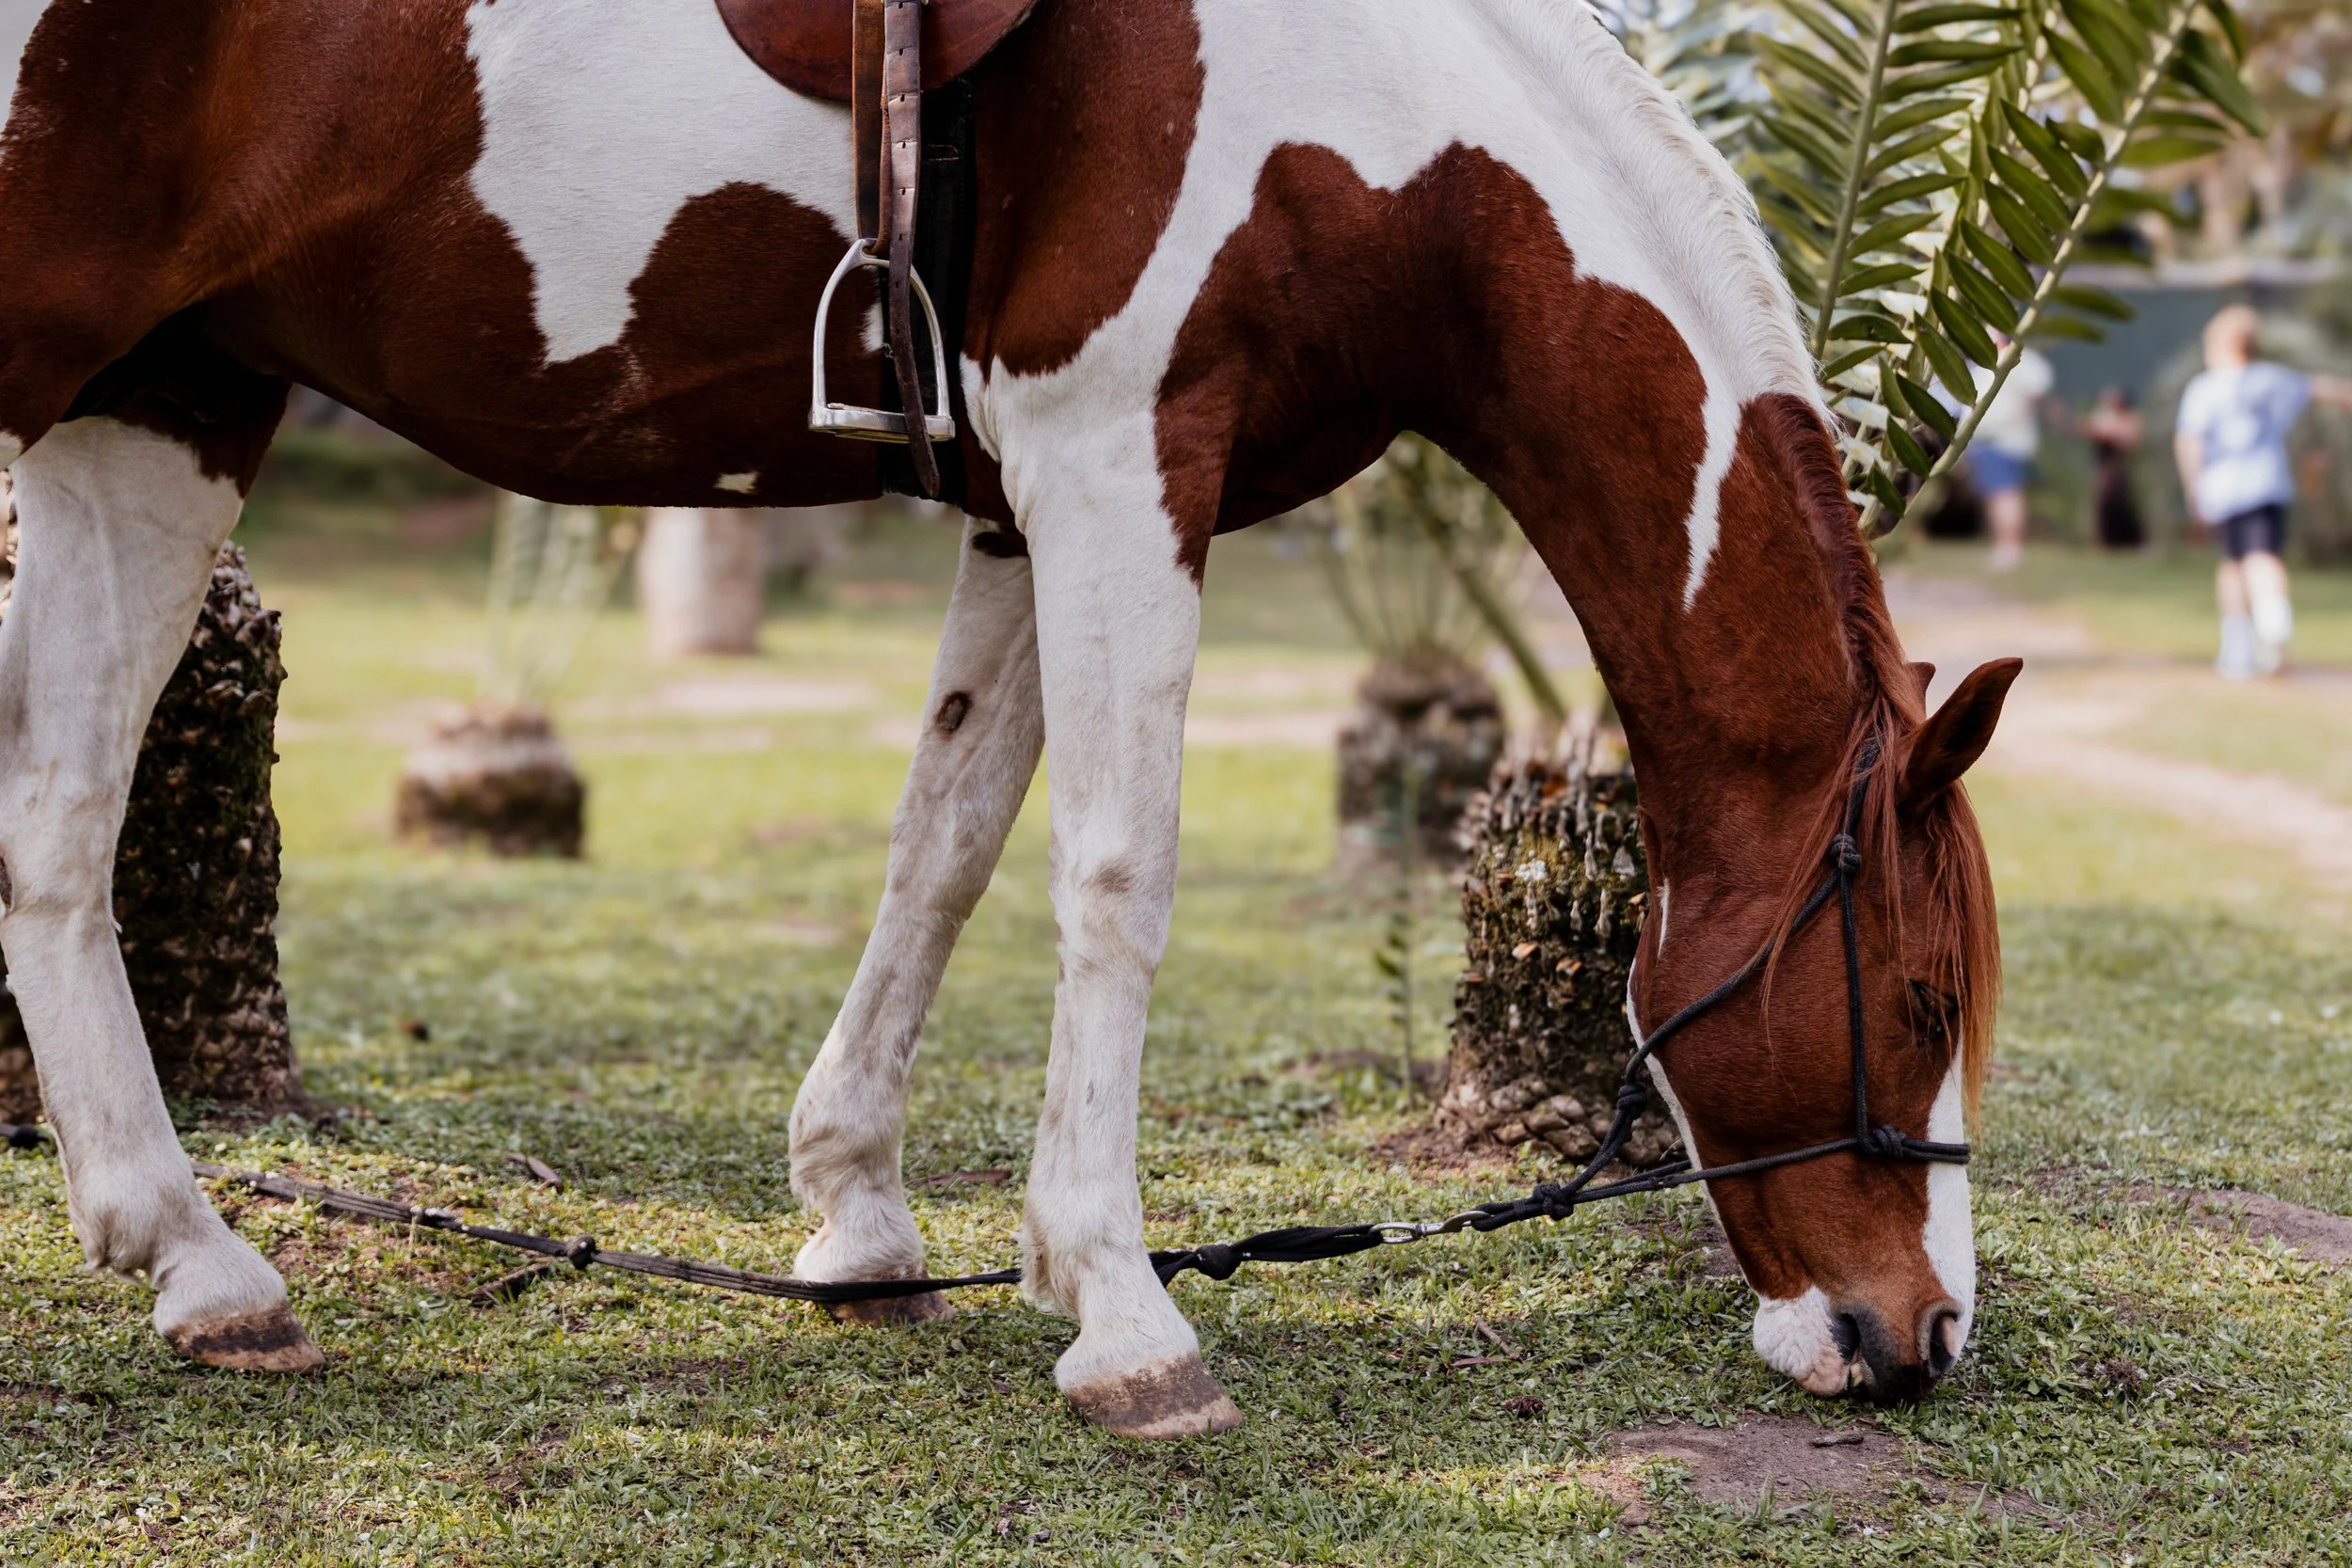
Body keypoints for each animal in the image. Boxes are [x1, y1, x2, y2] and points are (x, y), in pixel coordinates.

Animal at [0, 0, 2016, 1437]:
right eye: (1921, 1001)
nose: (1922, 1334)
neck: (1367, 107)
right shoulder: (1119, 466)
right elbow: (1115, 877)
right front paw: (1125, 1313)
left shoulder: (1022, 500)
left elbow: (947, 840)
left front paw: (867, 1213)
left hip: (164, 401)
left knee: (58, 827)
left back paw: (198, 1261)